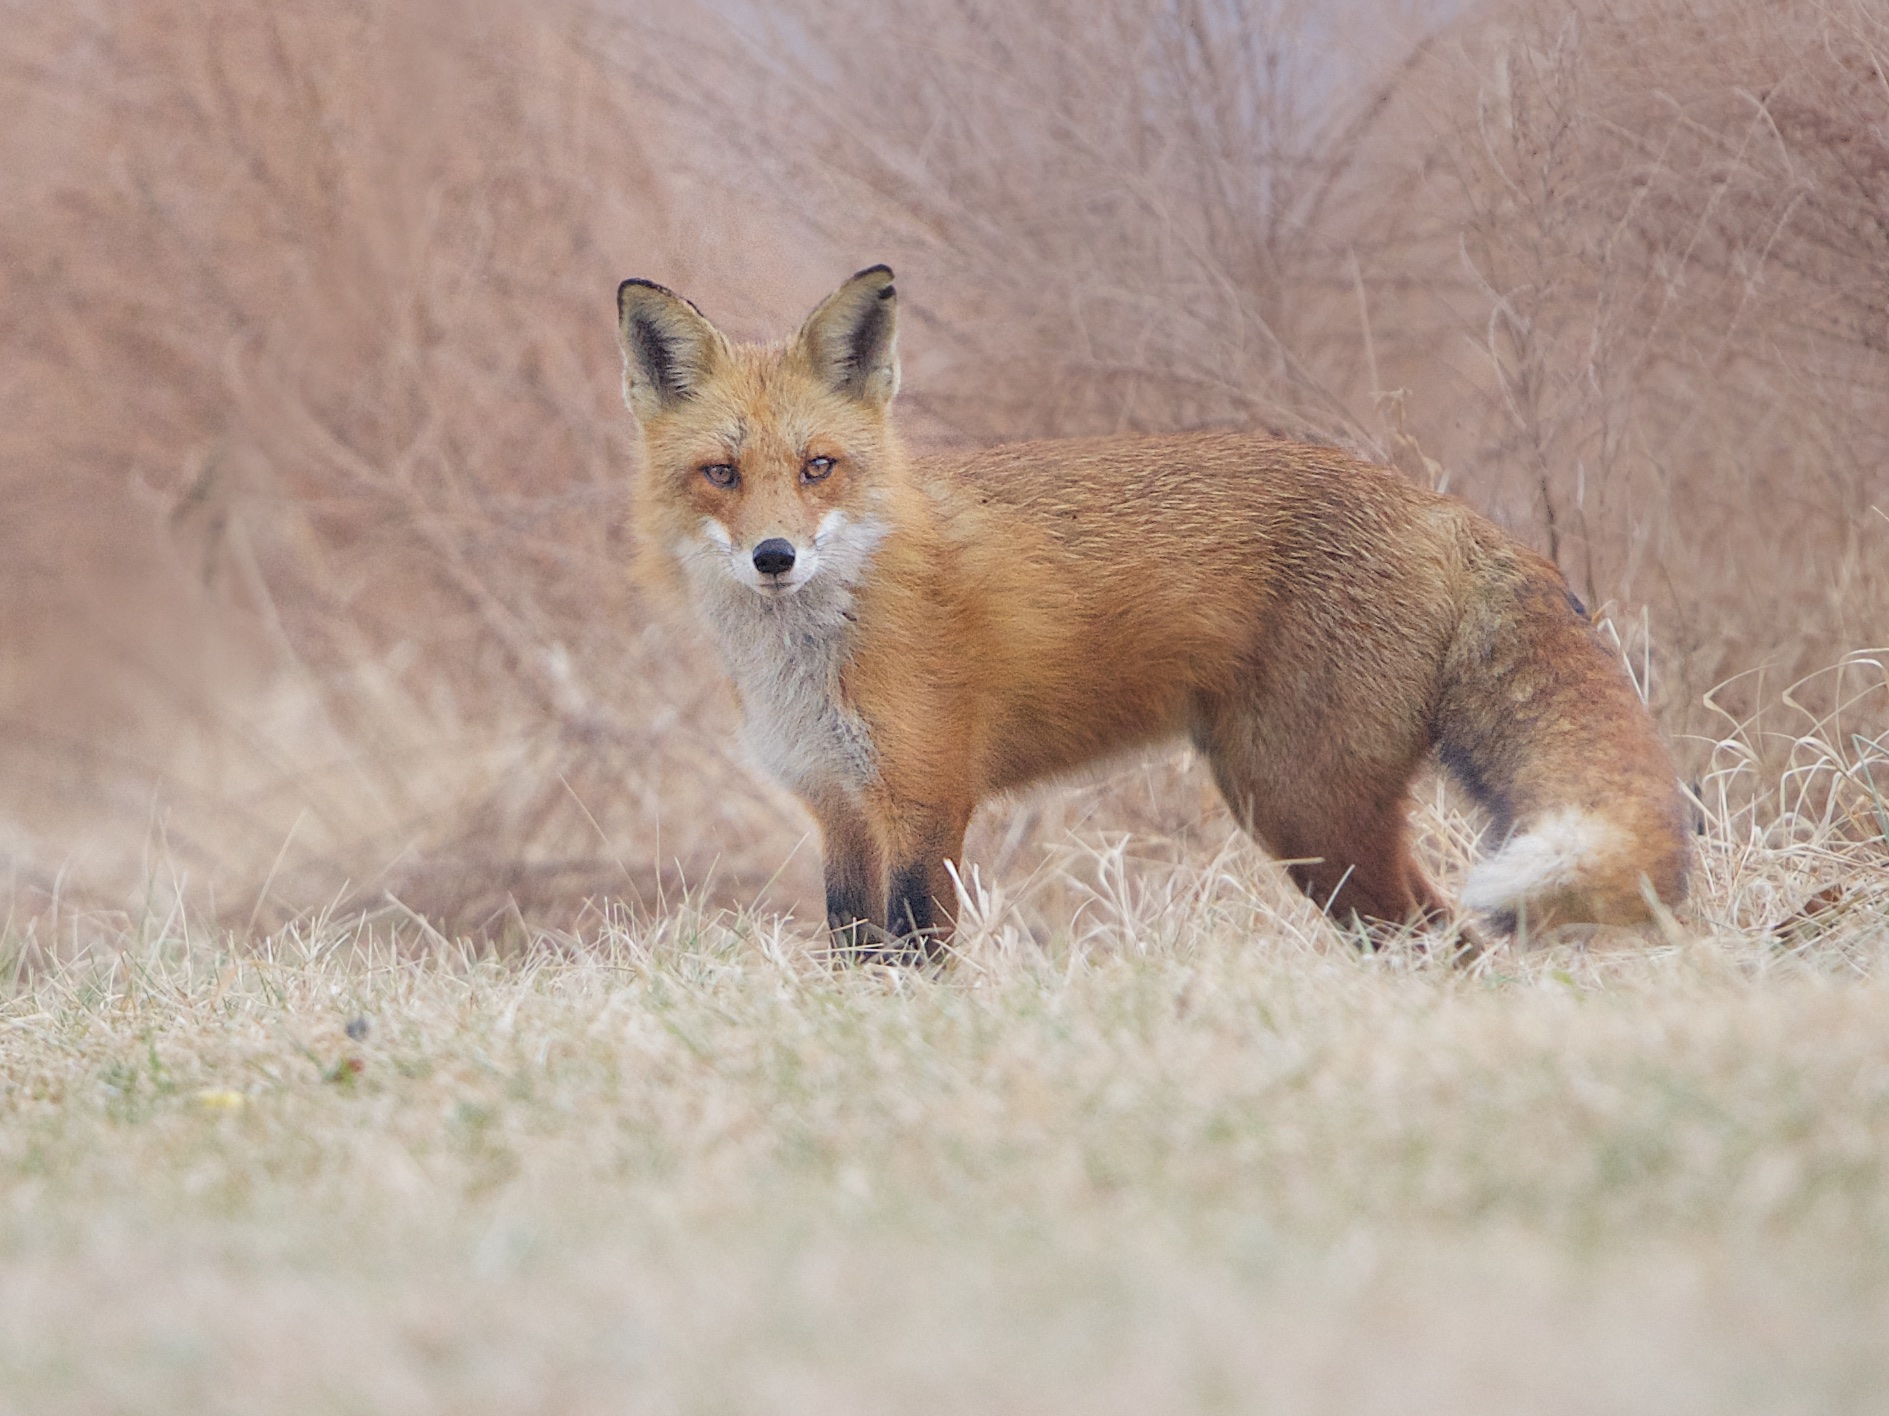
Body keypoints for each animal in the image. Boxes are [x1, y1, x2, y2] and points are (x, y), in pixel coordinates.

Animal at [614, 264, 1691, 958]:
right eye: (720, 474)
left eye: (817, 467)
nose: (775, 557)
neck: (812, 654)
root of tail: (1436, 506)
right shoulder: (837, 811)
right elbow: (850, 961)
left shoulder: (928, 804)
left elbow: (915, 960)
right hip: (1299, 820)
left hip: (1304, 810)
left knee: (1449, 942)